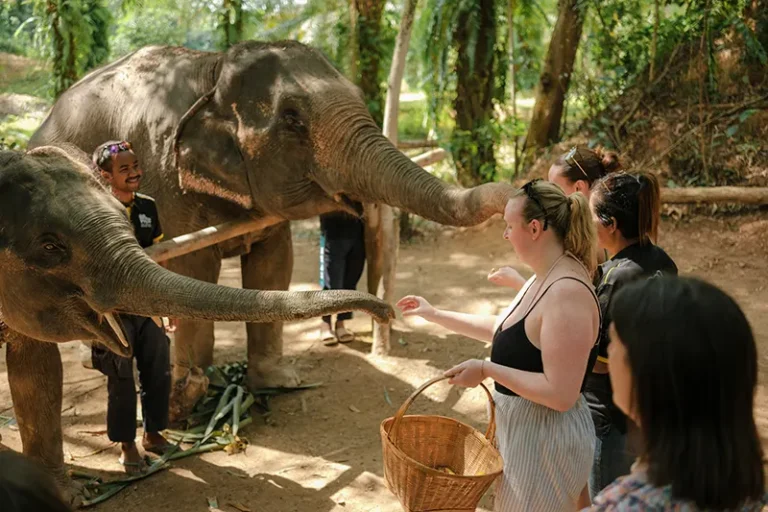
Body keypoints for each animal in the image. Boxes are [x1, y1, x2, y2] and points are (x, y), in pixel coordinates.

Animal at [29, 40, 514, 414]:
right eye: (293, 119)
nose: (513, 191)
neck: (212, 70)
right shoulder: (166, 175)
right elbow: (194, 266)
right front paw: (189, 394)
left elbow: (275, 263)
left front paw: (278, 382)